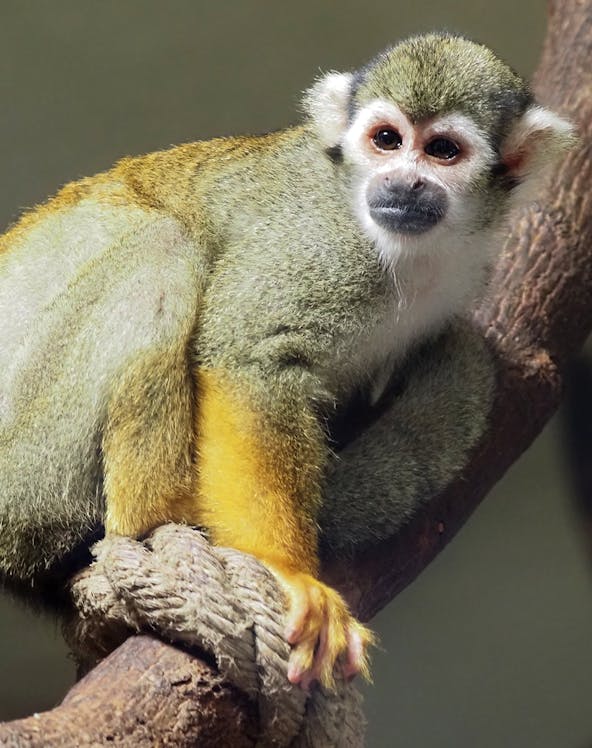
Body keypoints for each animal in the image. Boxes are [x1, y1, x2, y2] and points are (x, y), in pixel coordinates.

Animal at [0, 33, 574, 690]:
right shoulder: (320, 244)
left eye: (443, 151)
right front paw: (284, 568)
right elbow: (247, 358)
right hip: (26, 465)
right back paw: (153, 524)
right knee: (162, 248)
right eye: (387, 141)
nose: (403, 183)